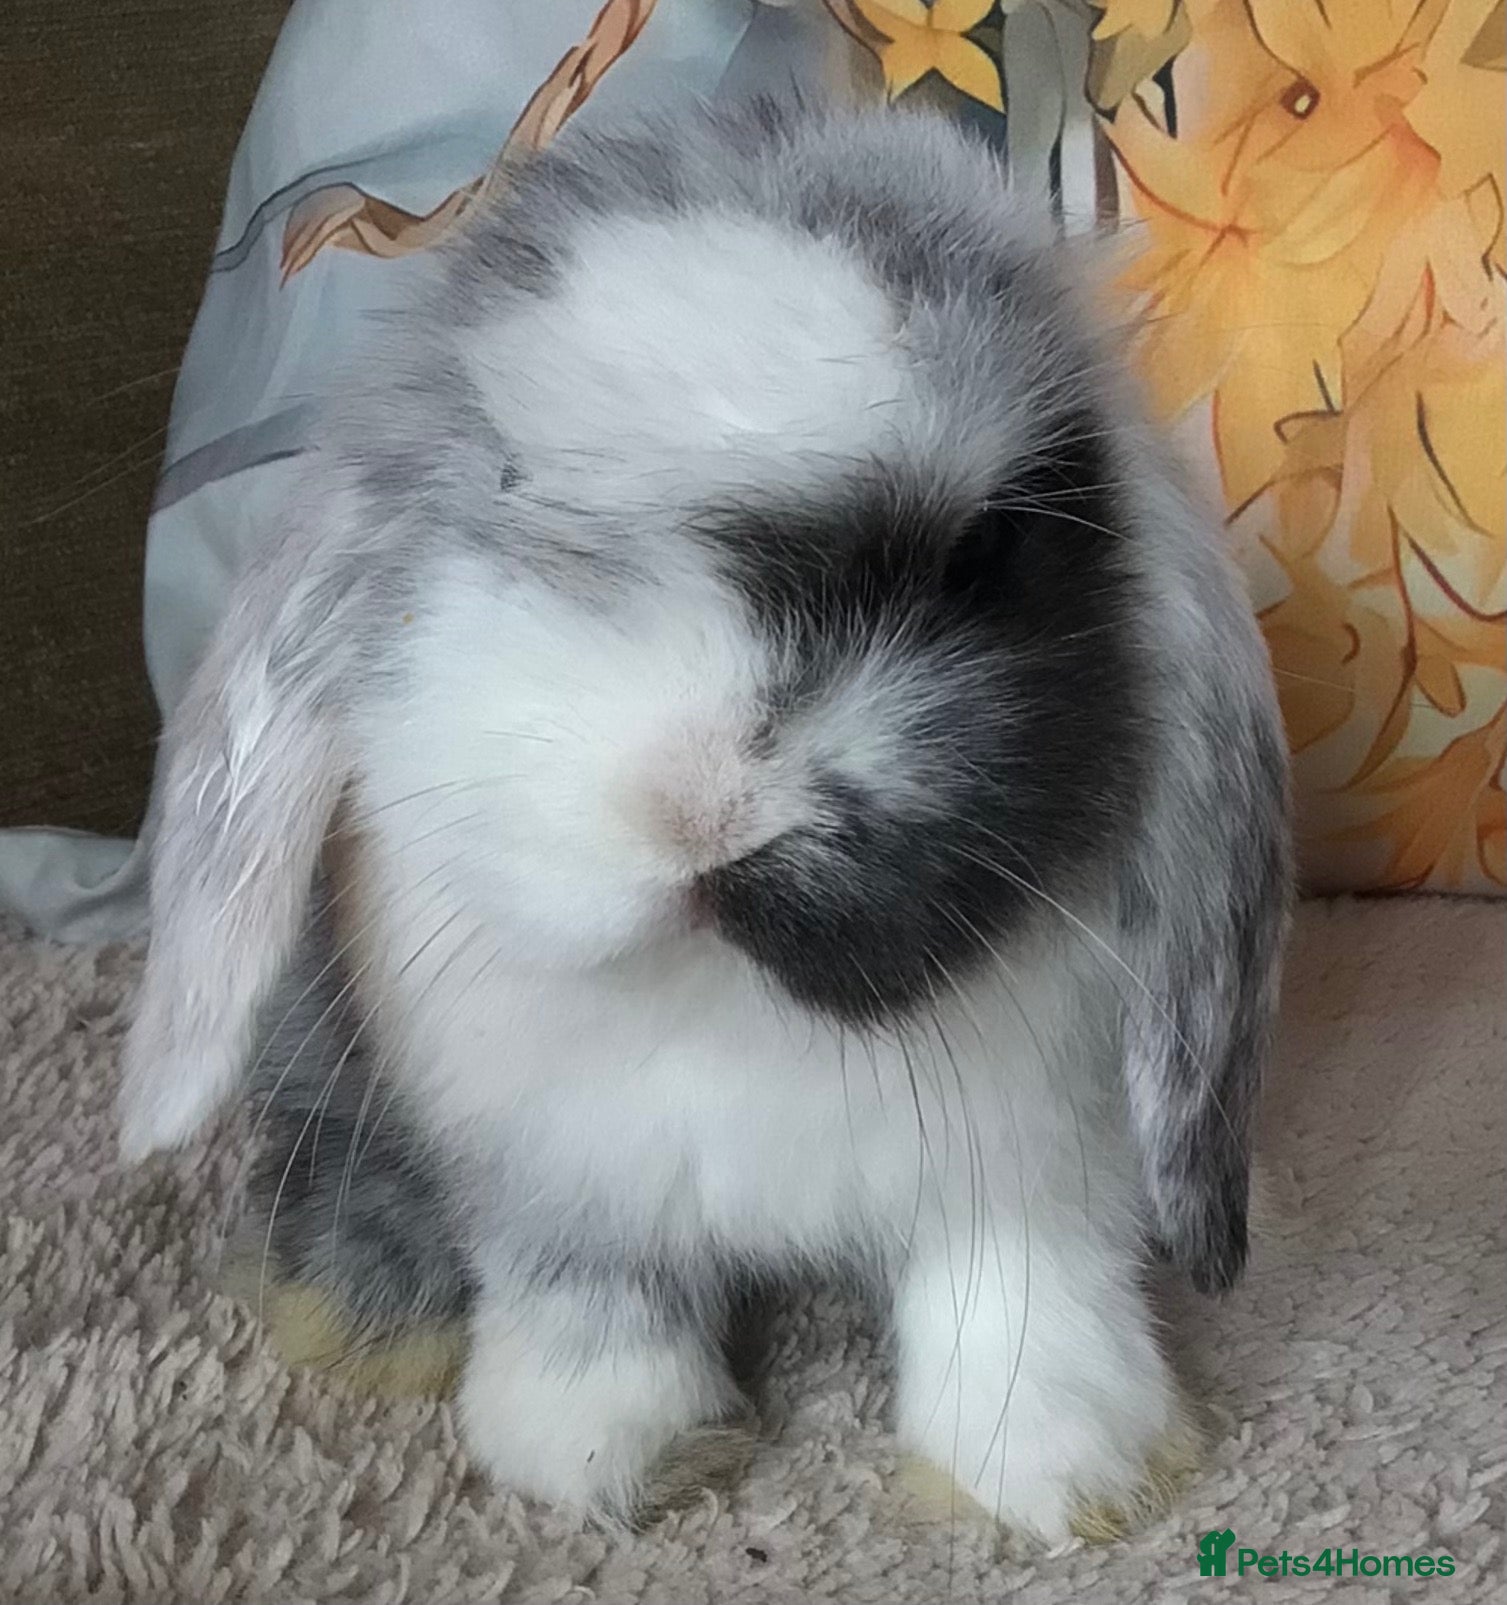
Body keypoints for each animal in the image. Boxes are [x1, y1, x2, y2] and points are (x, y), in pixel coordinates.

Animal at [117, 99, 1291, 1541]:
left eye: (980, 553)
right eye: (512, 482)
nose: (699, 809)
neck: (727, 1003)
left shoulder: (1033, 1169)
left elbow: (1020, 1302)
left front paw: (1062, 1478)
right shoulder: (562, 1180)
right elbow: (590, 1299)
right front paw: (612, 1457)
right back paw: (356, 1312)